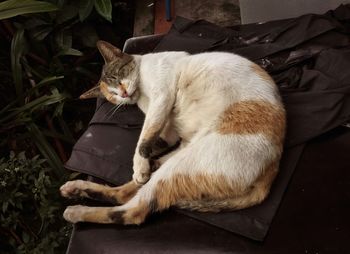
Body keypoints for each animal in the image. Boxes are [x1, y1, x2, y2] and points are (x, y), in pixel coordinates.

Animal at [60, 40, 286, 225]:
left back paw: (77, 211)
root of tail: (272, 169)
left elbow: (144, 137)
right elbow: (153, 140)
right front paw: (143, 164)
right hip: (178, 161)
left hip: (182, 165)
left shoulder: (162, 97)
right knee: (126, 193)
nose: (123, 94)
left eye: (118, 76)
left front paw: (139, 165)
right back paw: (76, 189)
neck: (142, 94)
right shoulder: (168, 132)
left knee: (132, 210)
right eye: (112, 95)